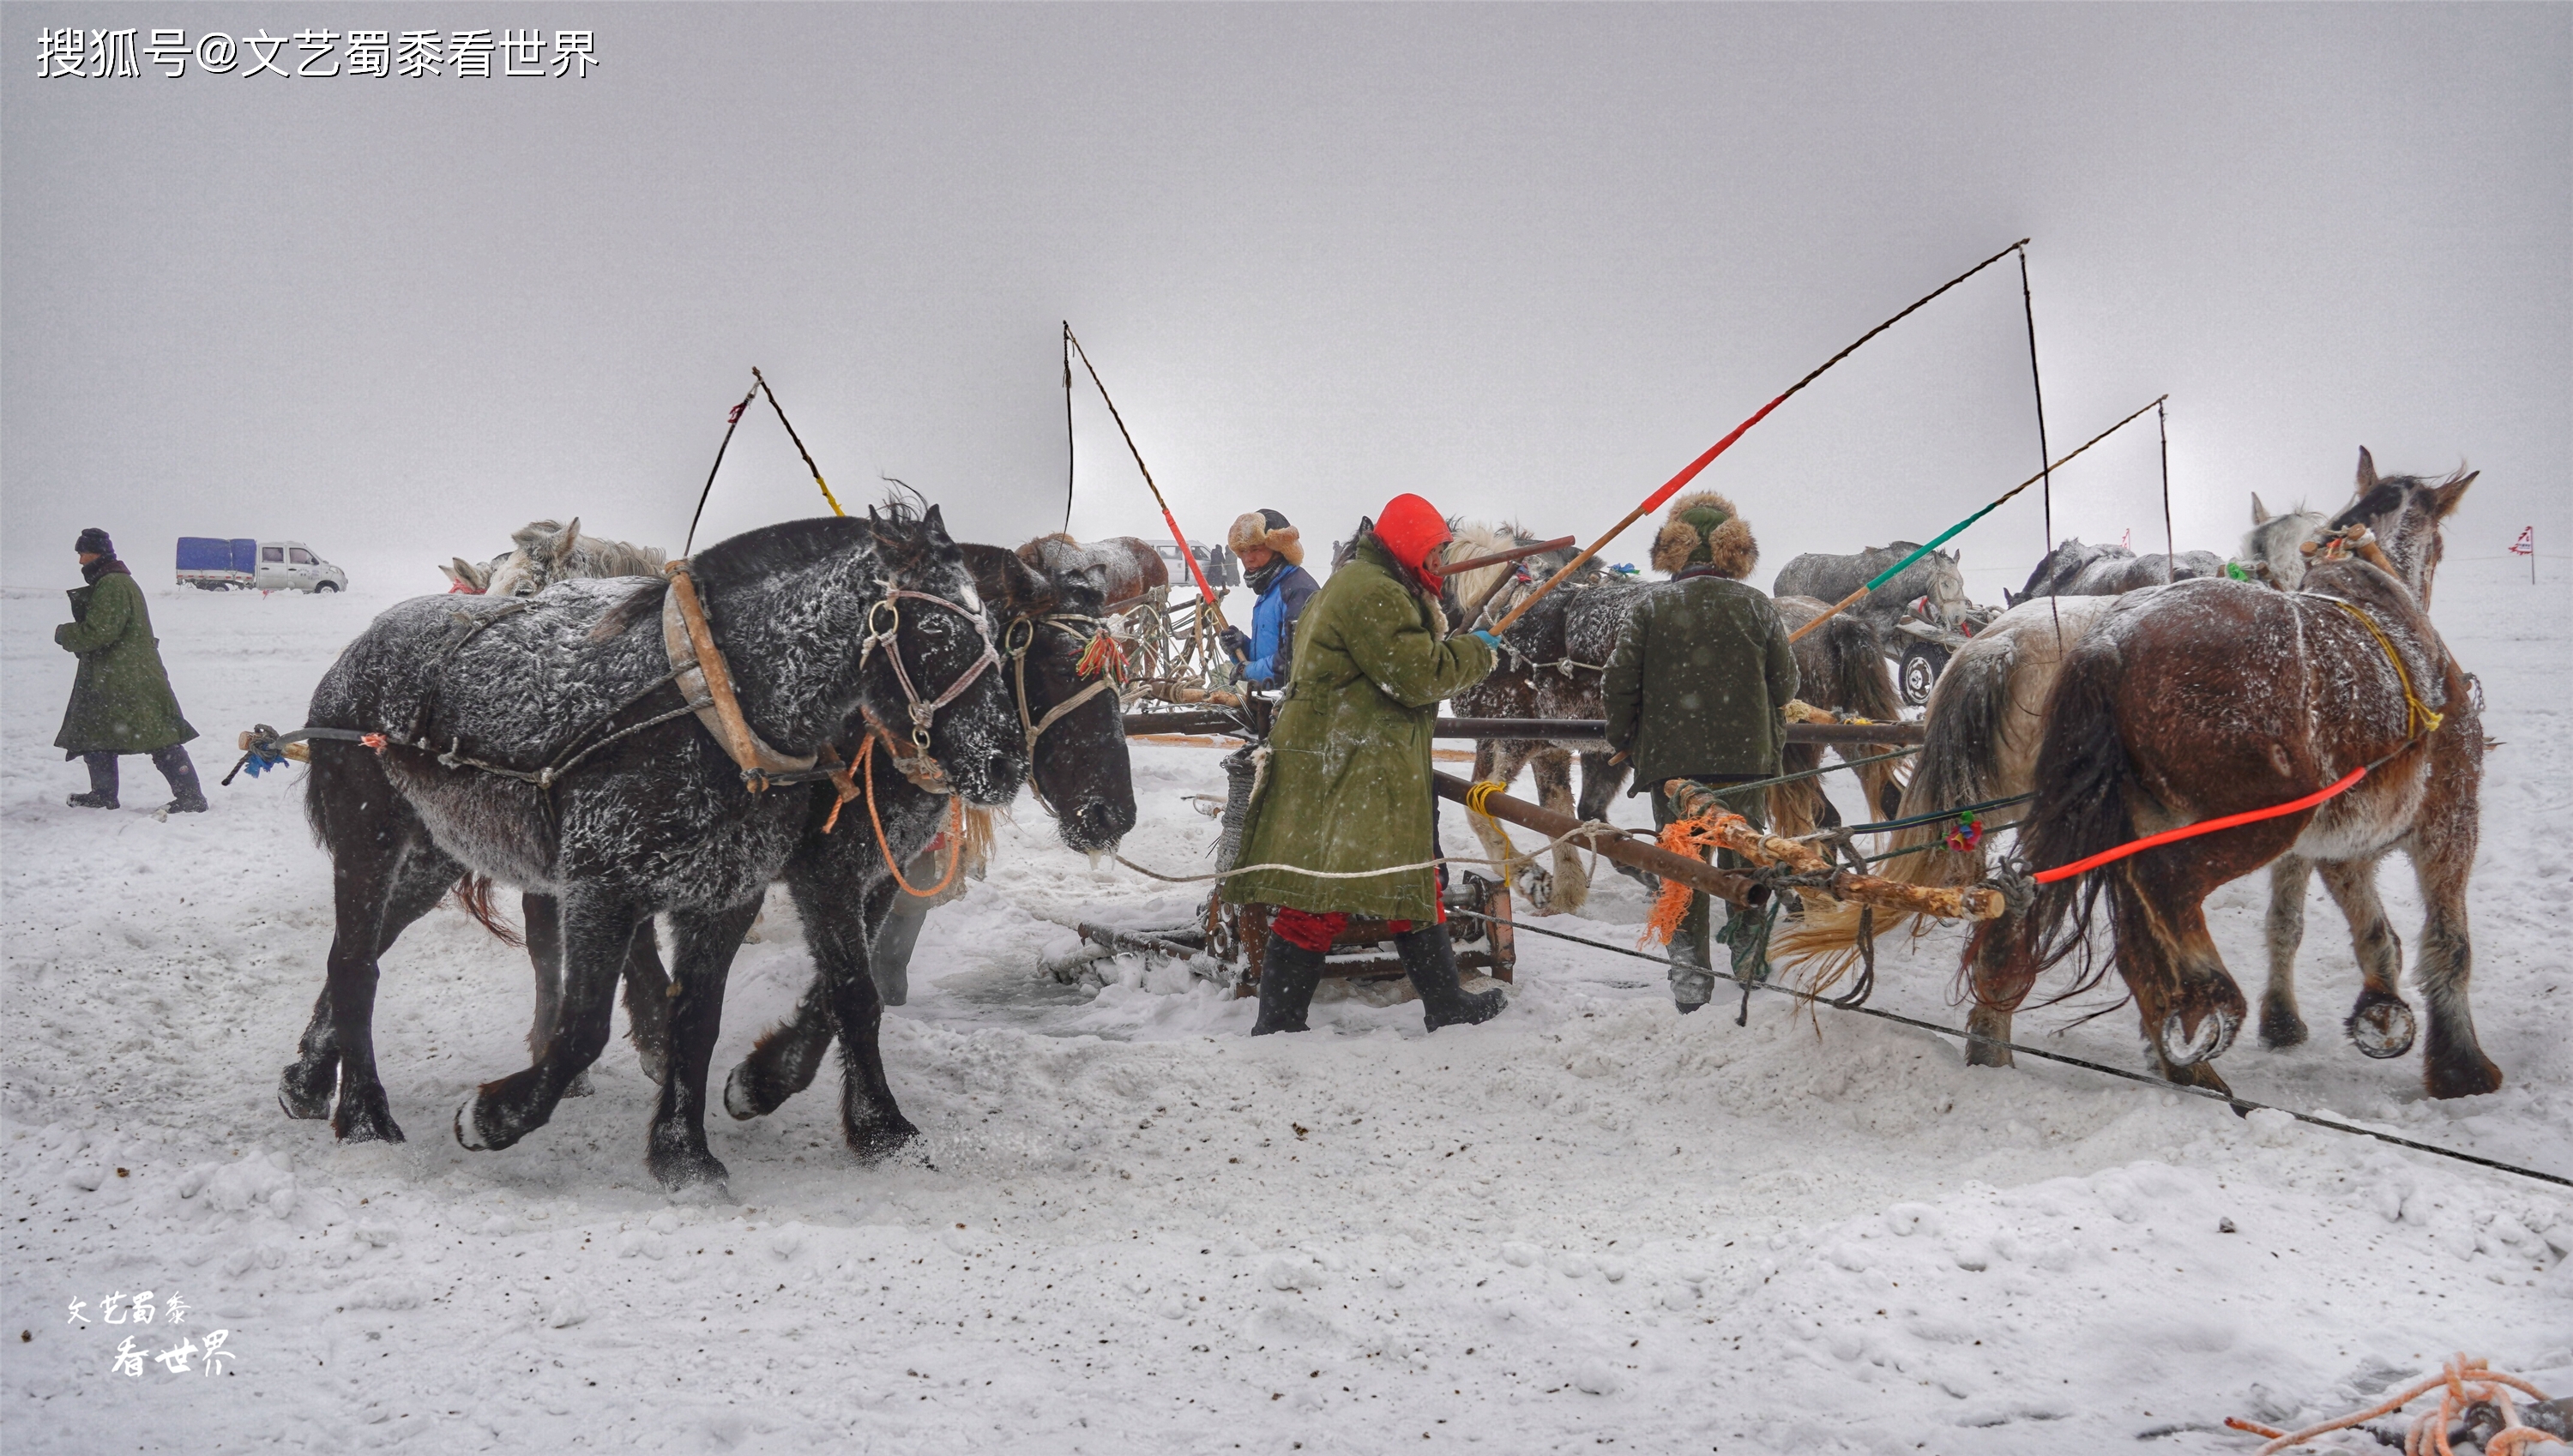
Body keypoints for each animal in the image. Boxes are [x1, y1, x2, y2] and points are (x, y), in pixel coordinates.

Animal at [281, 507, 1024, 1194]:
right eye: (936, 630)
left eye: (995, 629)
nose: (1007, 760)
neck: (711, 705)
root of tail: (362, 645)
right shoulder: (608, 886)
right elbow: (588, 1027)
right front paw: (495, 1117)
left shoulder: (735, 893)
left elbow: (703, 1020)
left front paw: (685, 1154)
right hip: (368, 838)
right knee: (355, 963)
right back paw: (365, 1117)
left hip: (435, 853)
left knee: (366, 945)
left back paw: (310, 1078)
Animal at [1955, 453, 2480, 1096]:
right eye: (2441, 545)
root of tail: (2110, 642)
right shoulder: (2447, 823)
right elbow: (2446, 943)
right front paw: (2460, 1065)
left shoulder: (2339, 843)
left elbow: (2357, 930)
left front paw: (2372, 1011)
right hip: (2258, 819)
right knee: (2162, 886)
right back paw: (2209, 1002)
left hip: (2103, 818)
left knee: (2065, 914)